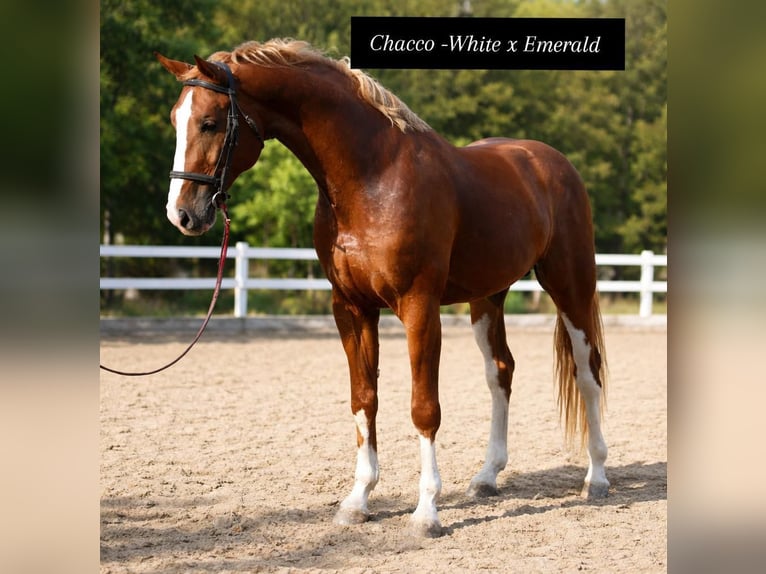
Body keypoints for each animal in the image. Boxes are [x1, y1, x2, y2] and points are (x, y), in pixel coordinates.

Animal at [155, 38, 609, 537]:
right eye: (176, 120)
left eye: (210, 122)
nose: (182, 214)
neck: (372, 179)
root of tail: (550, 162)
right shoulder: (351, 308)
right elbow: (364, 399)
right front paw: (358, 500)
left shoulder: (419, 307)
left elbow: (423, 407)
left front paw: (427, 512)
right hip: (487, 297)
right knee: (501, 371)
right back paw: (487, 477)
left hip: (569, 284)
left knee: (587, 372)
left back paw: (596, 478)